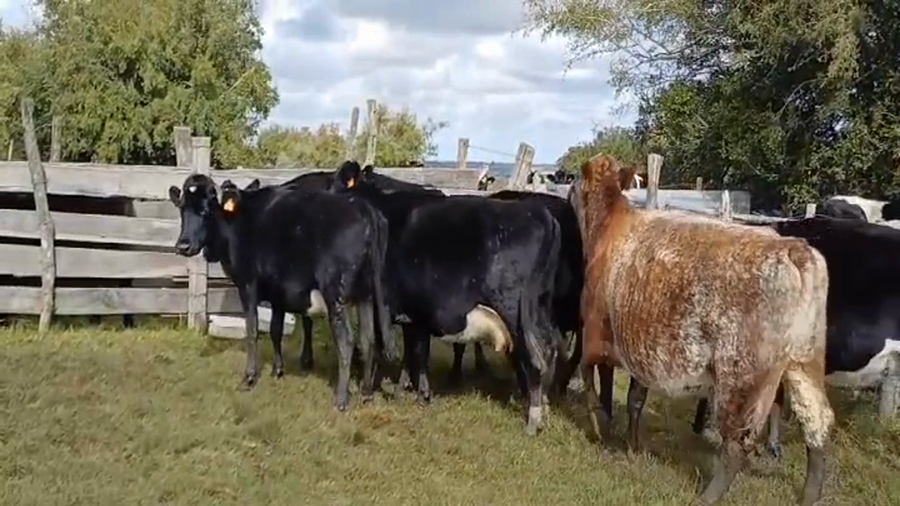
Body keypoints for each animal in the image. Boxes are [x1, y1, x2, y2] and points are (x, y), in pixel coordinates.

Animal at [167, 174, 397, 411]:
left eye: (206, 210)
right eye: (182, 208)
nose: (183, 245)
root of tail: (363, 207)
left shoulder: (247, 285)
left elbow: (252, 330)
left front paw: (249, 377)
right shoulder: (278, 291)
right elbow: (275, 330)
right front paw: (278, 369)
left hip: (336, 296)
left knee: (347, 341)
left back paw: (341, 400)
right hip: (366, 295)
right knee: (368, 339)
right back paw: (367, 393)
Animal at [330, 161, 565, 434]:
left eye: (336, 187)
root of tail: (538, 213)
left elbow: (399, 348)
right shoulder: (415, 313)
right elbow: (416, 352)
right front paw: (411, 389)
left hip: (515, 311)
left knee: (534, 355)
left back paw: (533, 420)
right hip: (540, 307)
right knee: (550, 347)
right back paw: (544, 406)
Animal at [578, 154, 833, 505]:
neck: (608, 227)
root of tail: (794, 248)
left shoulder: (594, 335)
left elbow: (589, 383)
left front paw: (600, 430)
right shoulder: (641, 350)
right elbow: (635, 399)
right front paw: (631, 445)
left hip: (741, 376)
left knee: (738, 442)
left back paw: (708, 496)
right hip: (805, 360)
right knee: (816, 423)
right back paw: (809, 495)